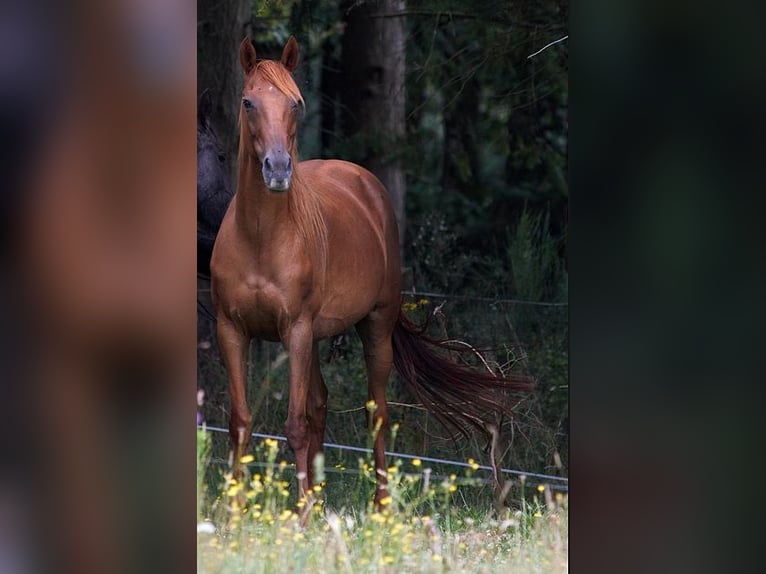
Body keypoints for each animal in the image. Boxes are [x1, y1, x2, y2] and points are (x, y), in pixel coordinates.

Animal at [210, 38, 536, 520]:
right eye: (248, 102)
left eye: (295, 104)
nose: (278, 170)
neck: (260, 237)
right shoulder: (232, 330)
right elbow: (241, 422)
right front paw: (233, 515)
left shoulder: (296, 330)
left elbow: (294, 424)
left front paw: (300, 516)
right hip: (315, 337)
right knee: (321, 404)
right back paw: (320, 498)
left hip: (373, 327)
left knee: (375, 412)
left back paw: (381, 506)